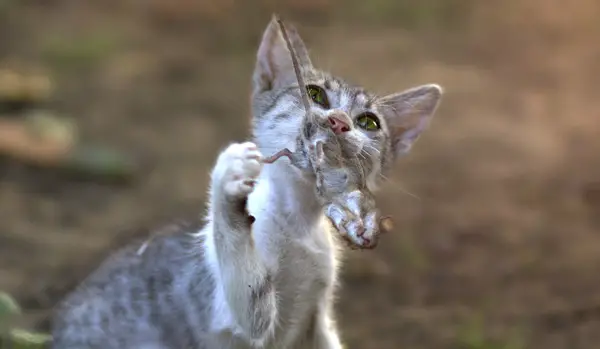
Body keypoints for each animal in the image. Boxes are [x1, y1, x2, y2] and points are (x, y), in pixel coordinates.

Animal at [50, 16, 440, 348]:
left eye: (368, 122)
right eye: (315, 94)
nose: (339, 122)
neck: (298, 224)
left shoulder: (319, 320)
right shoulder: (238, 318)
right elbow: (238, 268)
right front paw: (227, 181)